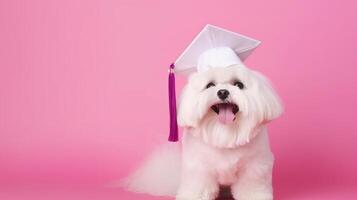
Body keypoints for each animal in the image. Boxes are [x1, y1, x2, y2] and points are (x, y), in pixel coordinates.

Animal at [124, 64, 282, 200]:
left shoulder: (255, 166)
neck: (224, 133)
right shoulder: (198, 167)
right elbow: (198, 186)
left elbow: (251, 186)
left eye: (239, 85)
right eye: (210, 85)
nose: (223, 92)